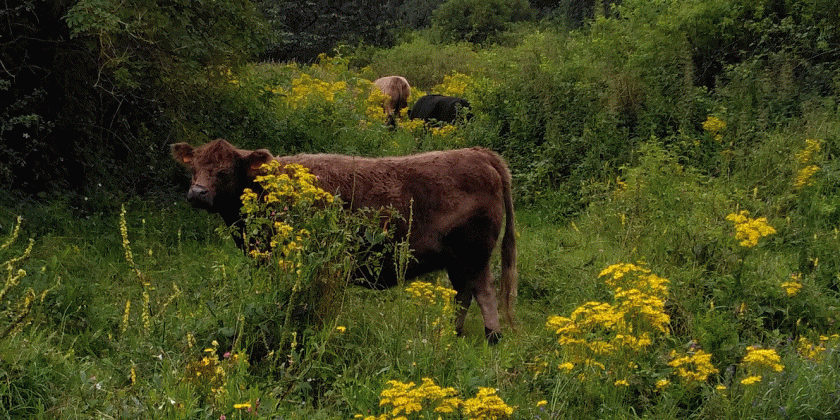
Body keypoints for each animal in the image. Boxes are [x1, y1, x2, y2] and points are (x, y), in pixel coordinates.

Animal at [172, 139, 520, 342]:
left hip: (474, 254)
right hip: (456, 260)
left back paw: (492, 335)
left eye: (225, 171)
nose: (197, 193)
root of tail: (479, 154)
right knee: (463, 293)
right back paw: (451, 333)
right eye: (195, 168)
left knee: (483, 291)